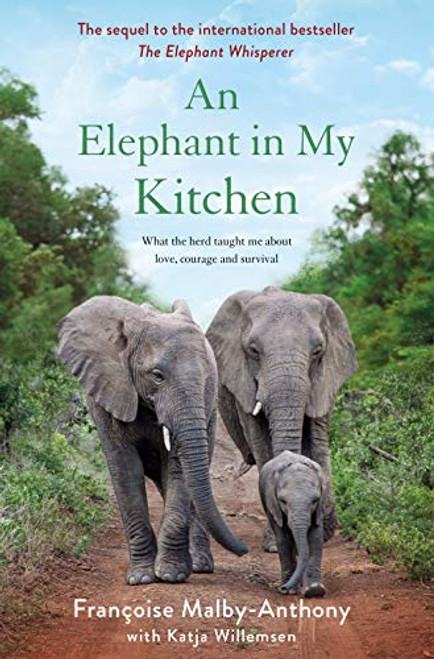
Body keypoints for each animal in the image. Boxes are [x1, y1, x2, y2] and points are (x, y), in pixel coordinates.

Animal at [57, 295, 247, 586]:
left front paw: (171, 575)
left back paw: (200, 565)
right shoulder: (106, 394)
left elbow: (178, 469)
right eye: (157, 376)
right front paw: (141, 578)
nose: (244, 551)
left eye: (207, 379)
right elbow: (125, 471)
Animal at [206, 286, 357, 550]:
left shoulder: (324, 380)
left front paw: (323, 532)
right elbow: (262, 444)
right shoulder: (244, 385)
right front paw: (275, 544)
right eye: (253, 350)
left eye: (318, 350)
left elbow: (317, 443)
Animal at [259, 451, 326, 597]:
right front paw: (290, 591)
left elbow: (316, 536)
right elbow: (283, 539)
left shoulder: (319, 508)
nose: (283, 588)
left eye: (315, 500)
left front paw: (314, 590)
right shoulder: (273, 504)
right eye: (283, 501)